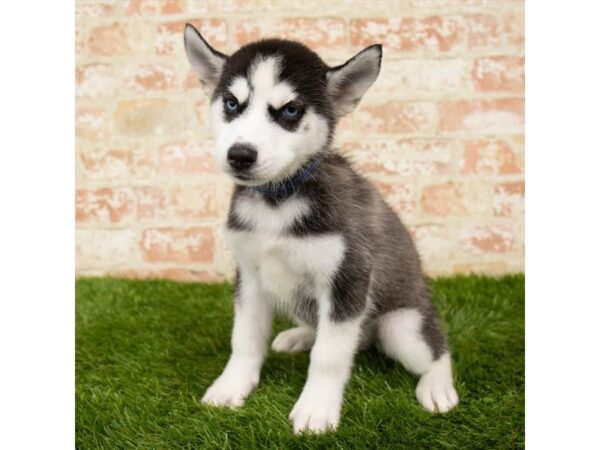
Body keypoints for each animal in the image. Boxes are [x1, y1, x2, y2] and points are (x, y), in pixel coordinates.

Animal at [184, 23, 460, 432]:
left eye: (290, 110)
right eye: (232, 104)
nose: (240, 155)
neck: (277, 202)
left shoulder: (348, 278)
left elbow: (328, 356)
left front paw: (316, 408)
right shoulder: (250, 277)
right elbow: (245, 339)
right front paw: (231, 386)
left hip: (403, 326)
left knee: (437, 350)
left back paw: (437, 386)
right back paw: (299, 336)